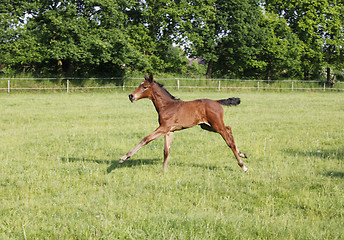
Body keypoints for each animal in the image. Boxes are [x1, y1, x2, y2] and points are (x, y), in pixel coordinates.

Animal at [119, 73, 247, 172]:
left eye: (145, 86)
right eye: (139, 85)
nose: (131, 96)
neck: (167, 106)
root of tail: (217, 102)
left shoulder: (164, 127)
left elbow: (146, 139)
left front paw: (124, 158)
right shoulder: (169, 131)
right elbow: (166, 150)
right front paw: (164, 171)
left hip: (216, 125)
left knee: (229, 142)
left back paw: (243, 166)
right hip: (207, 126)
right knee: (229, 128)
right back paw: (242, 153)